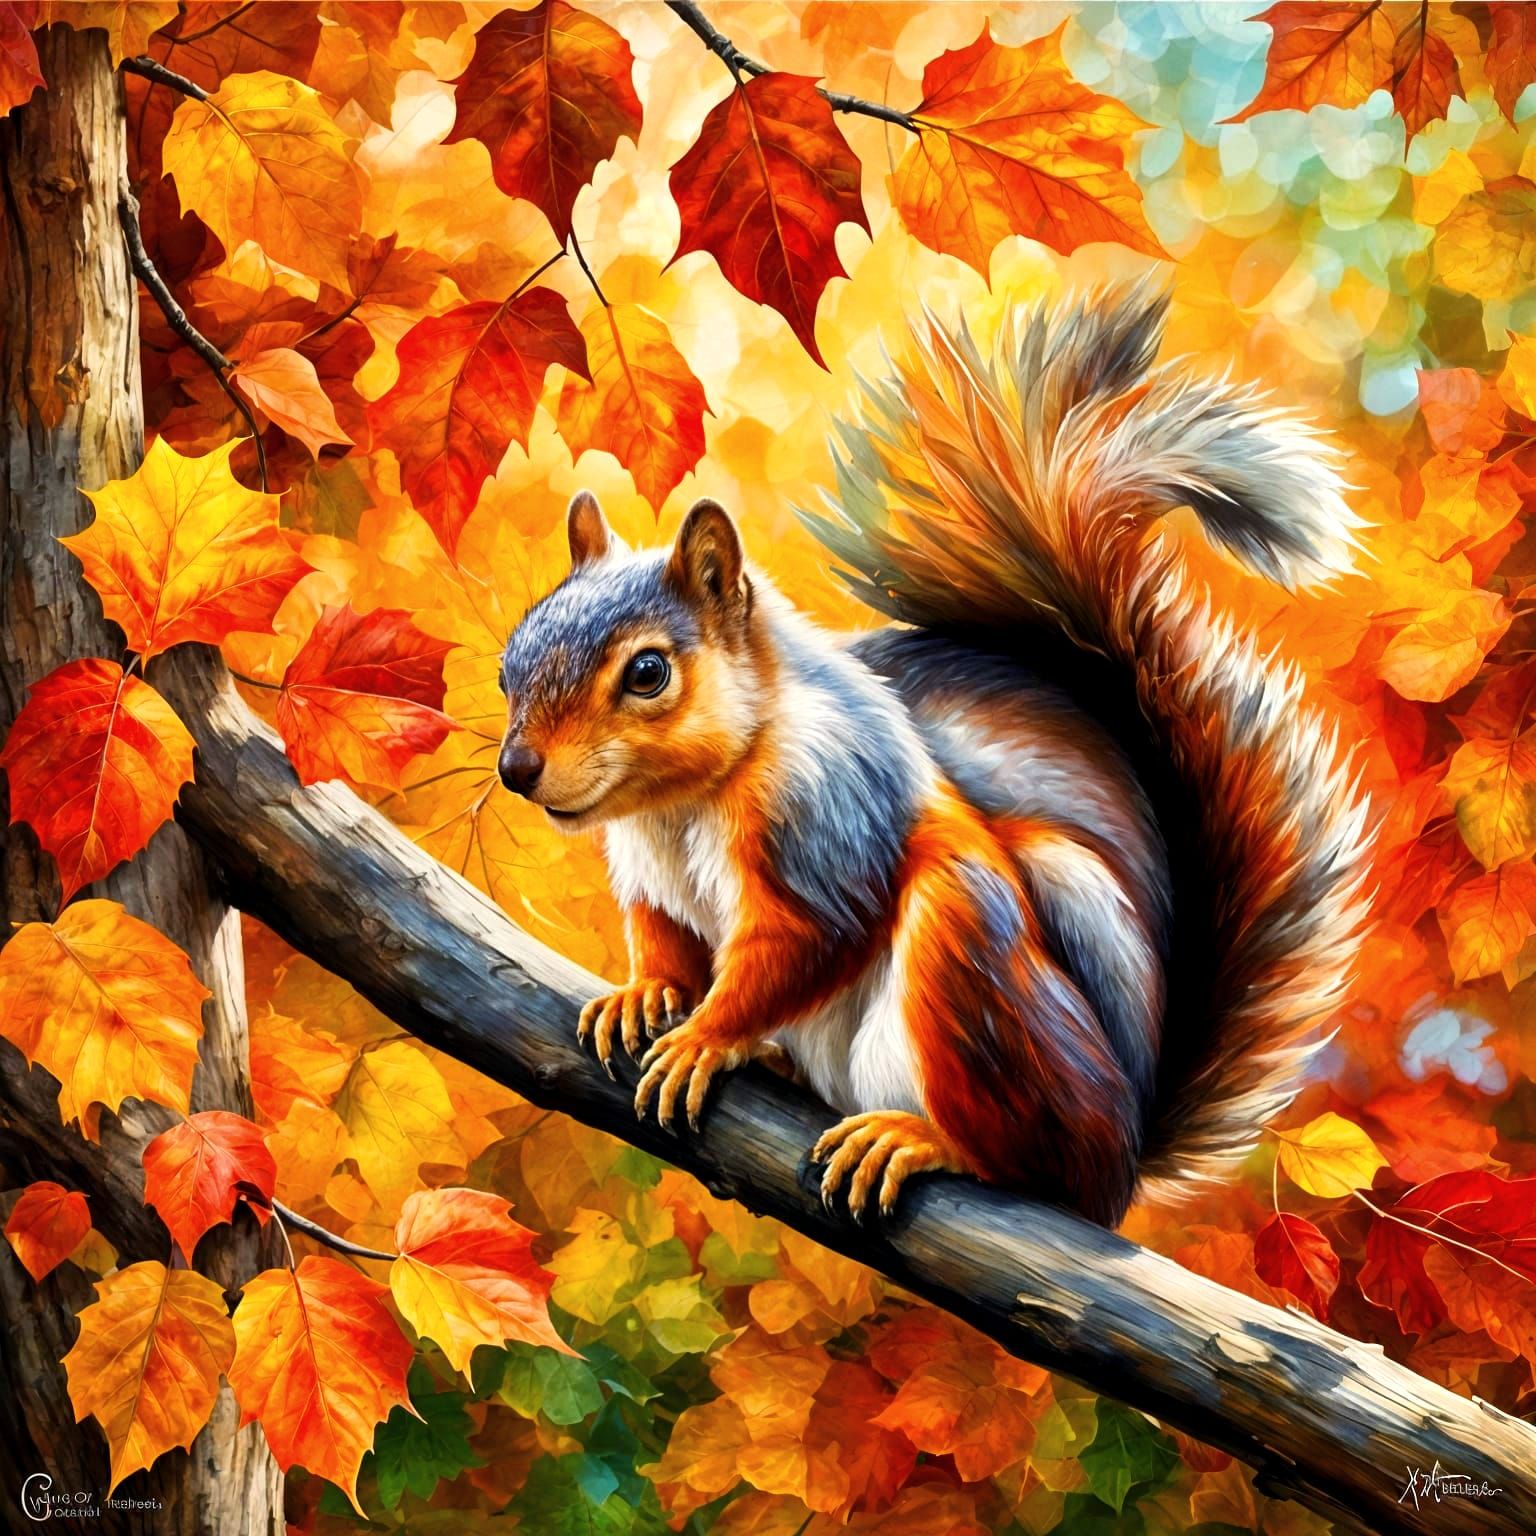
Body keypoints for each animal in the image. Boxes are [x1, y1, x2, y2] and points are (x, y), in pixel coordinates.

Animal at [497, 286, 1373, 1228]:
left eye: (649, 673)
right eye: (512, 656)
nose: (519, 770)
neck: (683, 799)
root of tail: (1126, 1159)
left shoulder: (827, 813)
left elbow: (803, 941)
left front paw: (704, 1036)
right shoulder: (652, 876)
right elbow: (664, 934)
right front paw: (646, 993)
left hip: (978, 963)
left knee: (1036, 1156)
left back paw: (923, 1140)